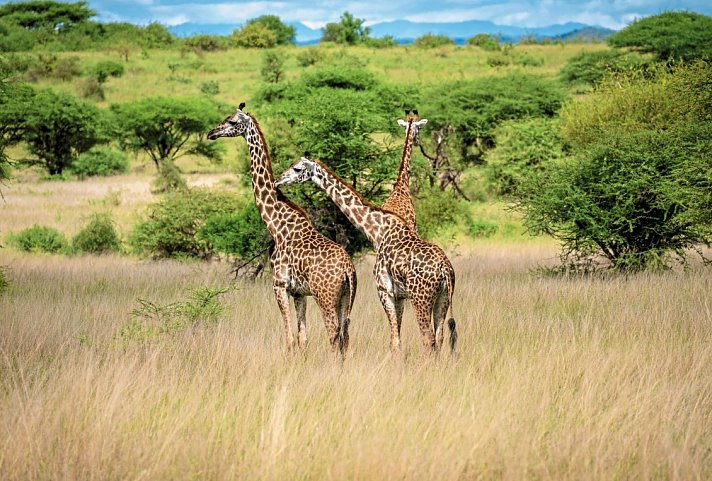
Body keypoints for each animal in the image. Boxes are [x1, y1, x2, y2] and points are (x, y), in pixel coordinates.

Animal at [209, 107, 358, 358]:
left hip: (325, 296)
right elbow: (302, 338)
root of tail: (348, 269)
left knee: (334, 333)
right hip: (345, 297)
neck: (277, 225)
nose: (212, 132)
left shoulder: (279, 285)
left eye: (232, 121)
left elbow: (289, 338)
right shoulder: (299, 292)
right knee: (345, 334)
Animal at [274, 156, 456, 358]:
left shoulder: (384, 290)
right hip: (443, 297)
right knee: (439, 338)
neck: (376, 231)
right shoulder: (399, 295)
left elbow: (394, 342)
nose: (278, 180)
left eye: (297, 169)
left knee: (427, 338)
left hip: (420, 298)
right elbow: (396, 339)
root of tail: (444, 268)